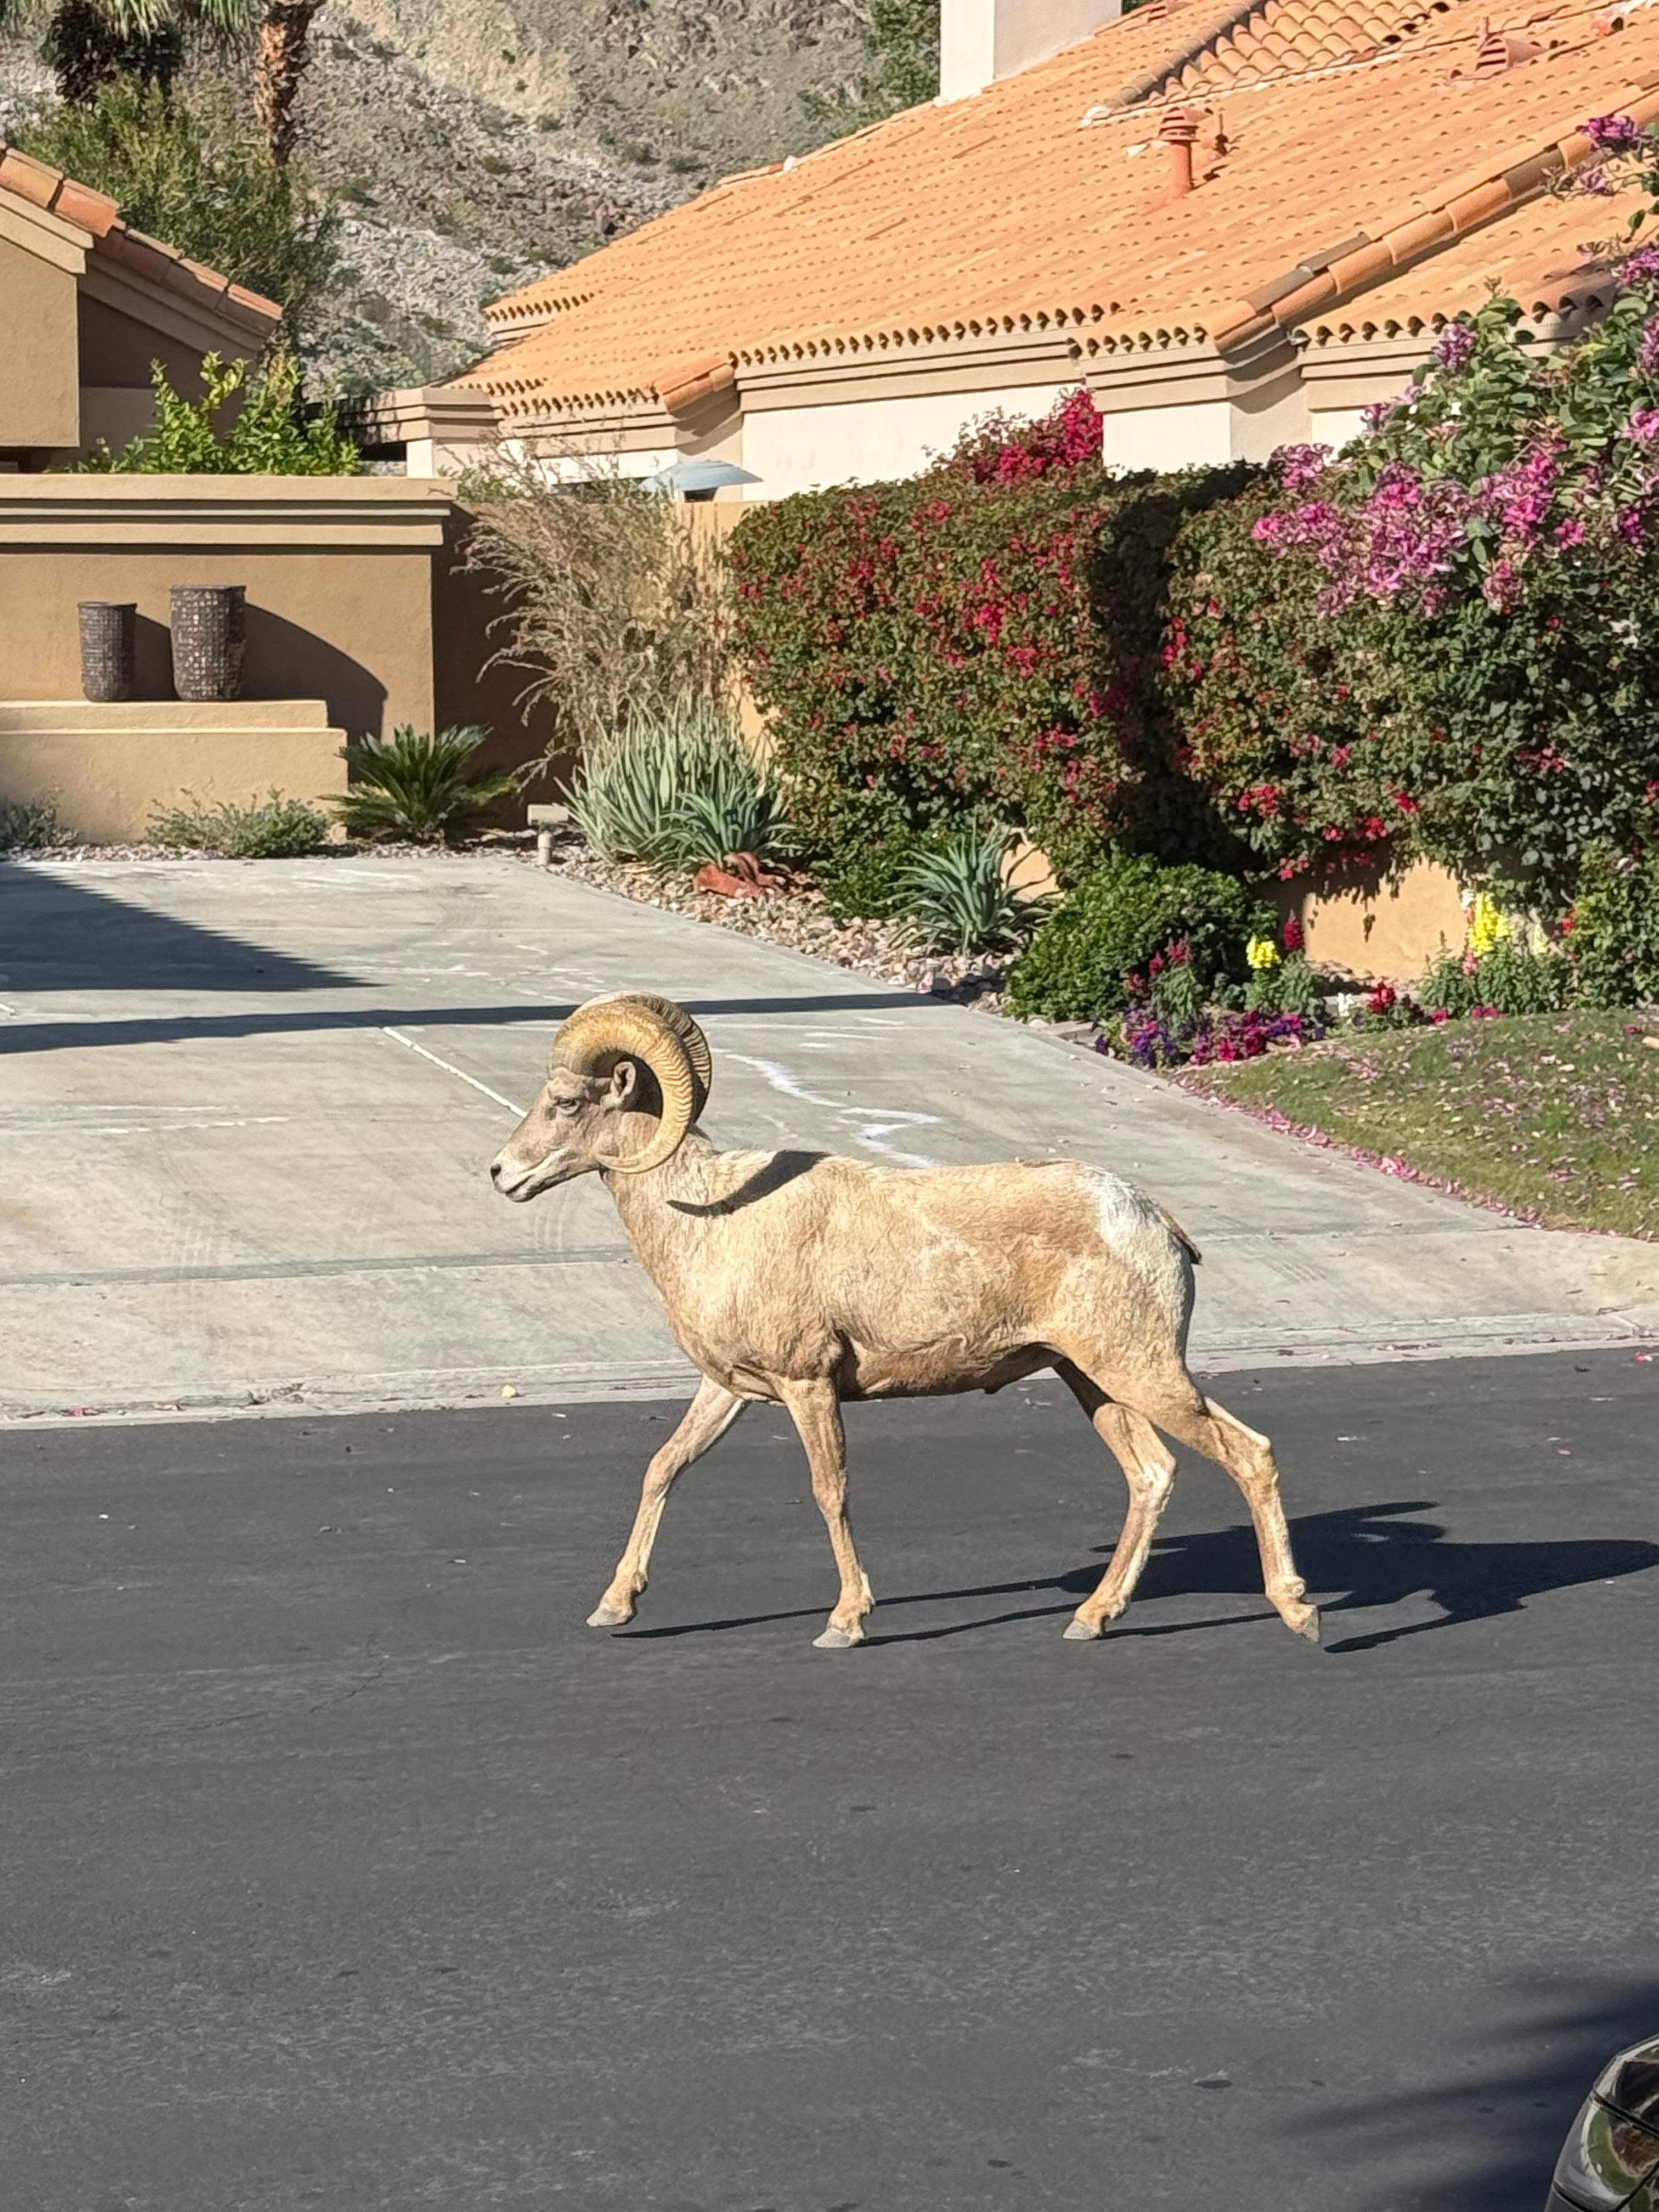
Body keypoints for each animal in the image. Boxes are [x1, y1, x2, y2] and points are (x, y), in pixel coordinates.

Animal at [490, 991, 1319, 1652]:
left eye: (566, 1103)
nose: (502, 1174)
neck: (709, 1219)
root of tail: (1153, 1222)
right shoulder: (728, 1390)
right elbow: (664, 1468)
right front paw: (615, 1607)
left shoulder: (808, 1386)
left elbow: (831, 1491)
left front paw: (846, 1622)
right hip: (1094, 1382)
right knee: (1152, 1475)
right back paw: (1091, 1618)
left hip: (1142, 1372)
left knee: (1250, 1455)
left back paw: (1299, 1613)